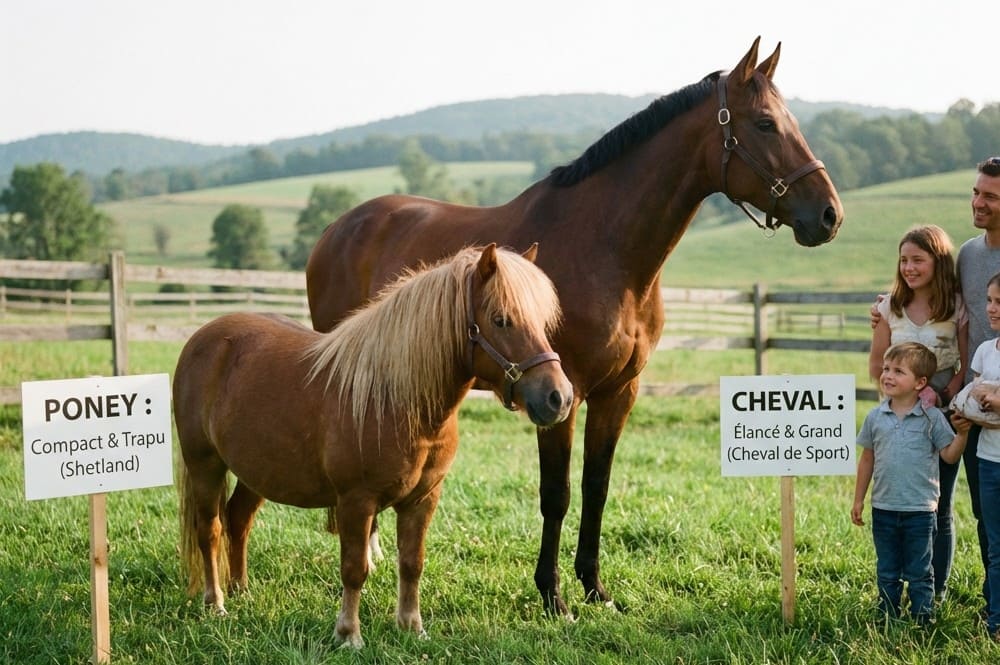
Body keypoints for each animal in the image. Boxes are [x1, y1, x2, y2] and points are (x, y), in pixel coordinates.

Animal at [174, 244, 573, 648]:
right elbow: (354, 569)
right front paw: (348, 634)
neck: (394, 400)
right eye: (501, 319)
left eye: (542, 322)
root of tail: (202, 338)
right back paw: (216, 603)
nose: (559, 397)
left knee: (238, 519)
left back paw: (241, 590)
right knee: (210, 531)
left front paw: (412, 626)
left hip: (257, 471)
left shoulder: (422, 499)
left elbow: (412, 563)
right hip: (205, 465)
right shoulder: (356, 501)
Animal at [305, 38, 845, 616]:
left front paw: (595, 589)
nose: (830, 215)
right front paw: (552, 594)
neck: (605, 248)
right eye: (766, 124)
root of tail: (336, 229)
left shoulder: (618, 393)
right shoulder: (561, 394)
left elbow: (596, 488)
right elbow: (557, 494)